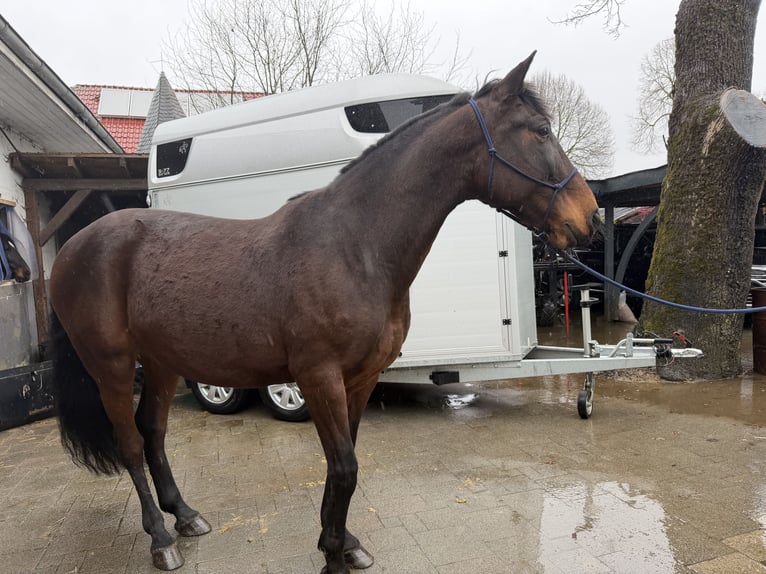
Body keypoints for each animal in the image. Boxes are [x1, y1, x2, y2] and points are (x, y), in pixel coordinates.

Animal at [49, 53, 600, 573]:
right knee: (129, 443)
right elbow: (343, 468)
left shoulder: (360, 377)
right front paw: (333, 554)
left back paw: (184, 516)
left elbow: (347, 460)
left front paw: (344, 544)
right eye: (541, 131)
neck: (355, 246)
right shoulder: (319, 376)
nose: (590, 218)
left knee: (153, 432)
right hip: (113, 367)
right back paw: (160, 540)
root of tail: (71, 249)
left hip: (163, 362)